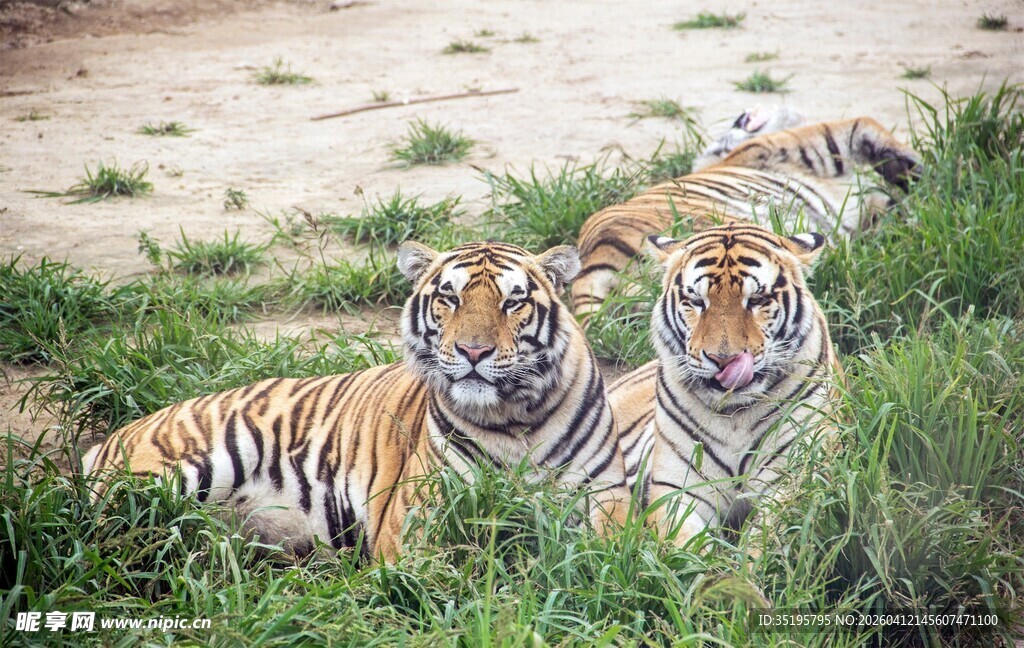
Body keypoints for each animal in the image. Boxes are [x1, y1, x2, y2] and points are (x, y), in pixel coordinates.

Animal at [83, 241, 630, 561]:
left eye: (513, 301)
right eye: (449, 297)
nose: (474, 351)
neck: (516, 416)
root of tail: (113, 436)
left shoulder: (606, 494)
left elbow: (623, 549)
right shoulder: (422, 512)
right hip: (178, 473)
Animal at [608, 223, 839, 544]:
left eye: (756, 301)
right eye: (697, 302)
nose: (724, 359)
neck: (734, 416)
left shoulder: (793, 479)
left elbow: (763, 542)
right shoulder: (679, 491)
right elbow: (686, 546)